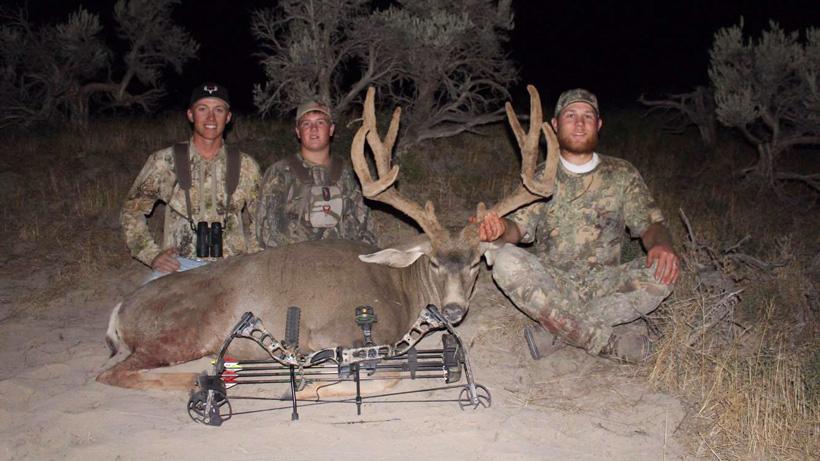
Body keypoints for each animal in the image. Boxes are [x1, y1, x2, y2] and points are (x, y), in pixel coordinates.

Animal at [96, 85, 559, 391]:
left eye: (477, 262)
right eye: (432, 261)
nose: (453, 309)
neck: (401, 291)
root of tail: (118, 311)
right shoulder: (337, 336)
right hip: (181, 332)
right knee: (114, 372)